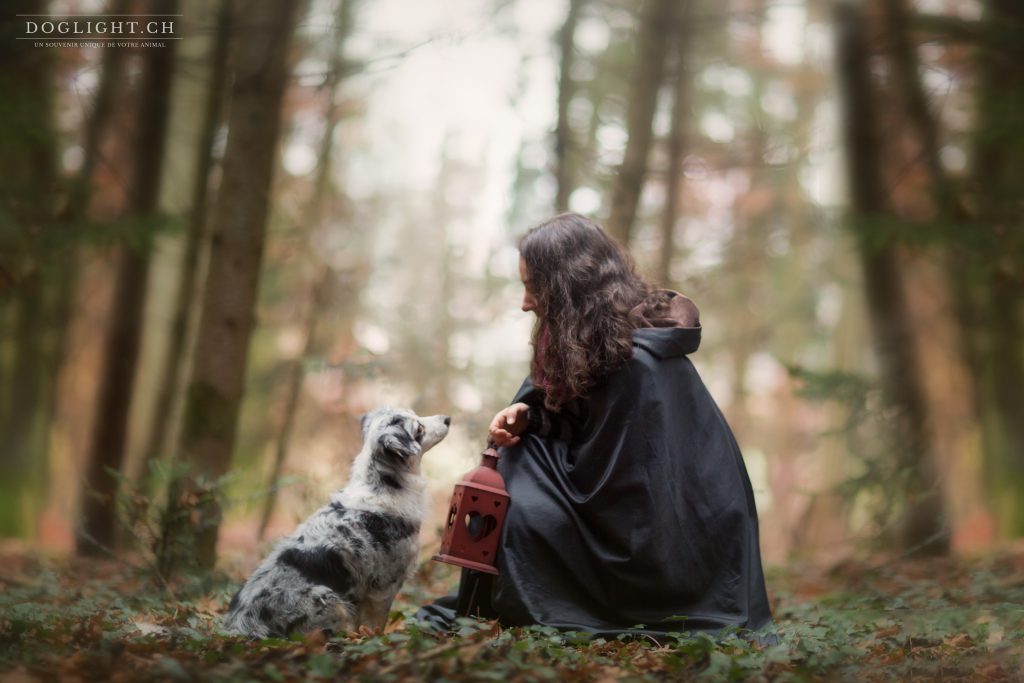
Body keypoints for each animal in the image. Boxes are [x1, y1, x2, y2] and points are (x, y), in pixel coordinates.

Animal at [226, 409, 450, 638]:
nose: (447, 419)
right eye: (419, 428)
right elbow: (376, 625)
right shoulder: (384, 585)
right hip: (329, 599)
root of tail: (241, 626)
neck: (384, 486)